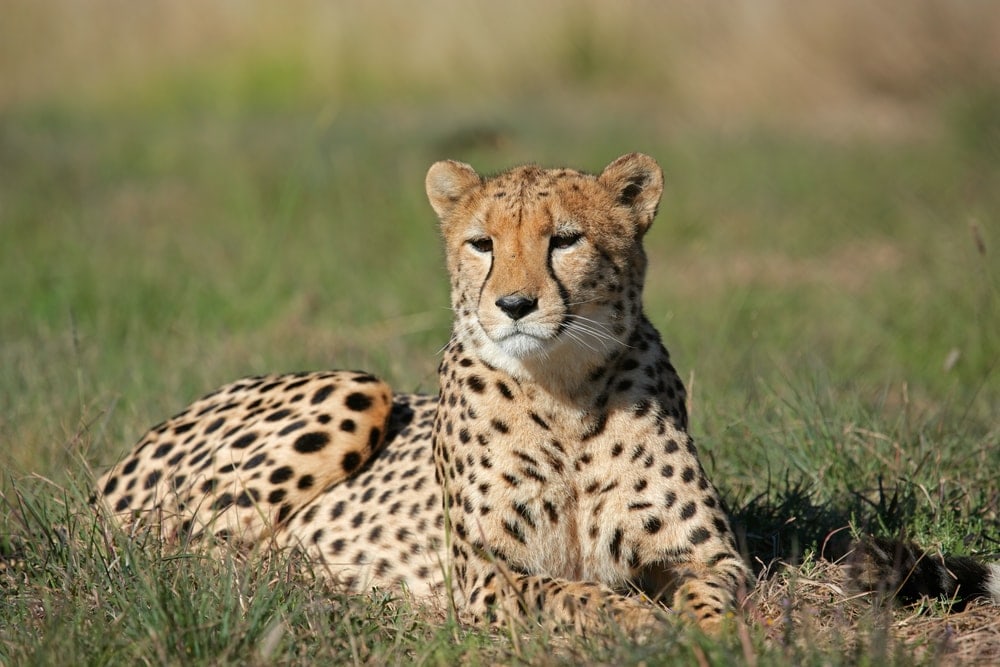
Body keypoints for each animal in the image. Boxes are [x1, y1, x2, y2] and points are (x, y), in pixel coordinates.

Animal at [93, 153, 1000, 637]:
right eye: (481, 244)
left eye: (565, 239)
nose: (516, 304)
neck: (563, 393)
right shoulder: (483, 572)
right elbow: (563, 589)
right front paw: (636, 621)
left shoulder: (706, 552)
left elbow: (709, 591)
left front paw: (703, 631)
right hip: (352, 388)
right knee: (186, 555)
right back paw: (310, 576)